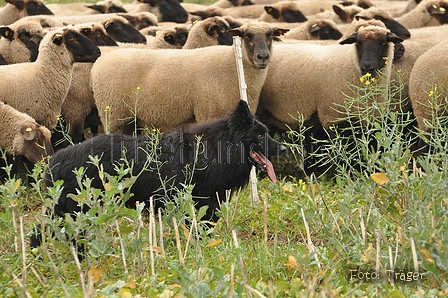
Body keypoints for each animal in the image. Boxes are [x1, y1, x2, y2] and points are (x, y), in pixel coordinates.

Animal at [33, 100, 288, 247]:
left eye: (267, 133)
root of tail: (56, 159)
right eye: (259, 135)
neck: (217, 148)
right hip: (73, 210)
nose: (285, 149)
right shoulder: (201, 203)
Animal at [91, 21, 288, 133]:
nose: (263, 57)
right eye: (247, 36)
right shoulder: (209, 113)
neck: (233, 65)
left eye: (270, 35)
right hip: (114, 116)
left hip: (130, 119)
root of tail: (99, 62)